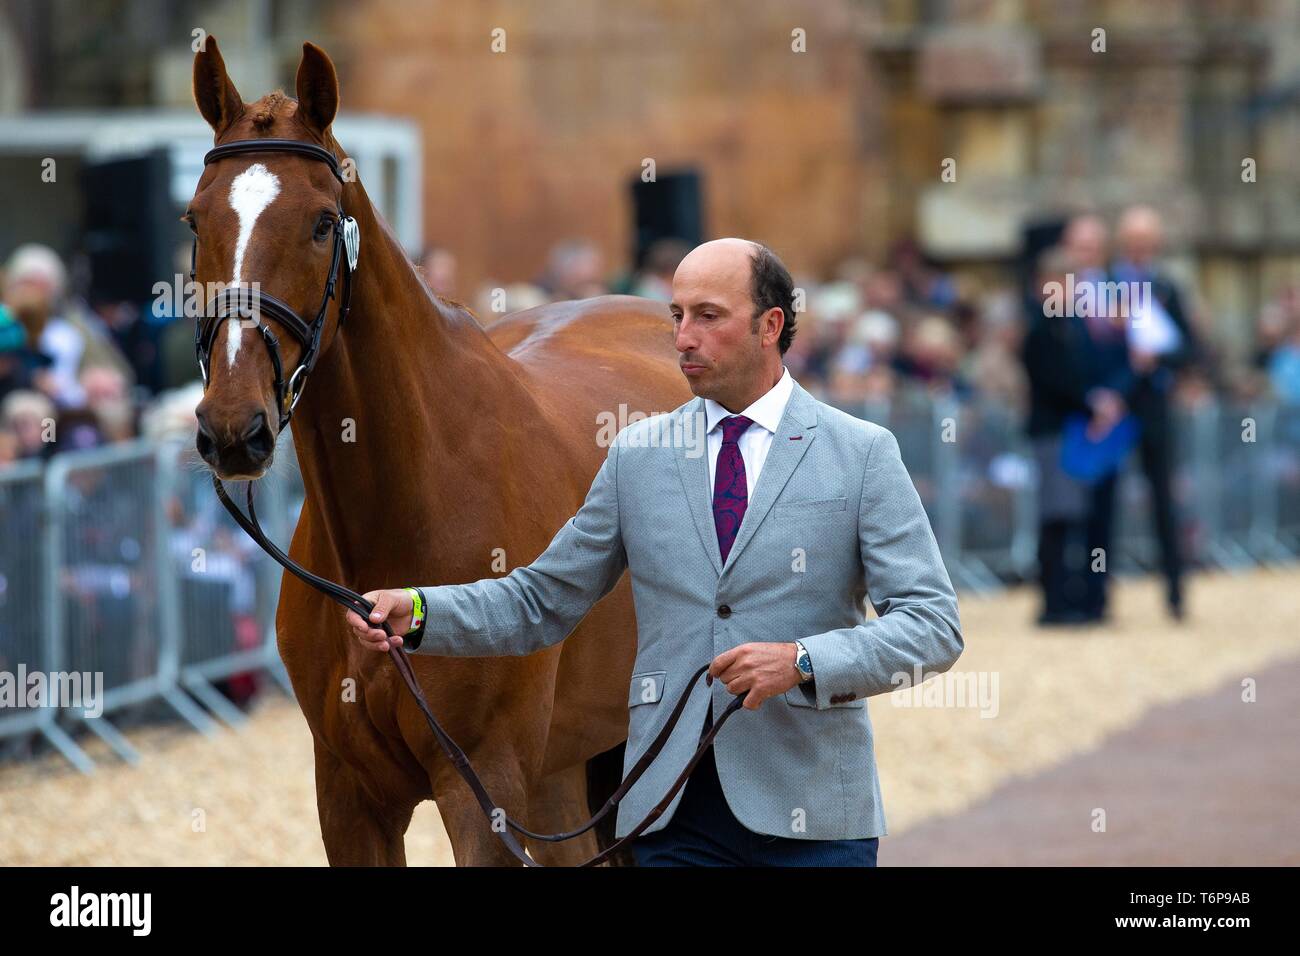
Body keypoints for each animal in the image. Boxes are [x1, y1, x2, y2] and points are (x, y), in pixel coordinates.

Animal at [188, 37, 691, 865]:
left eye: (322, 223)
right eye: (194, 219)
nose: (234, 426)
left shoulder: (483, 790)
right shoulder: (350, 798)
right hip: (570, 771)